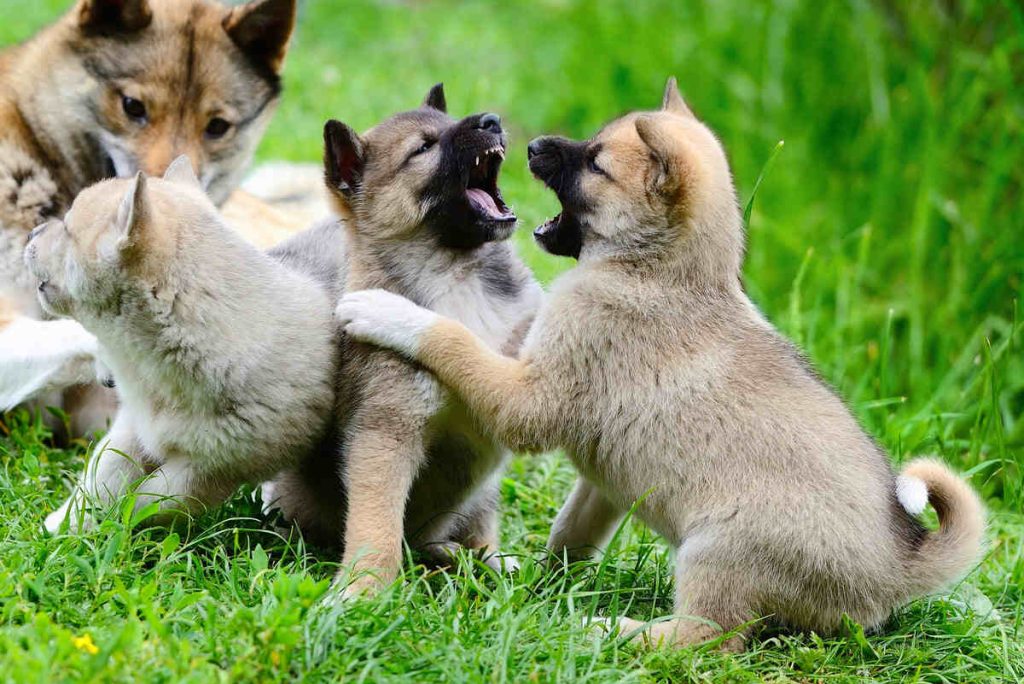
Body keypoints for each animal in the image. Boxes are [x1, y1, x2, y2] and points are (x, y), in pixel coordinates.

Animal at [24, 157, 337, 532]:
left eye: (68, 230)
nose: (32, 233)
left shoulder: (208, 469)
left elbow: (150, 500)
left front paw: (117, 526)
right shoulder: (134, 424)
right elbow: (102, 475)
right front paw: (64, 528)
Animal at [264, 85, 544, 593]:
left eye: (452, 125)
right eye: (423, 148)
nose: (492, 121)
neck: (455, 271)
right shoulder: (386, 431)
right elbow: (376, 525)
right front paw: (363, 590)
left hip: (480, 497)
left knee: (475, 531)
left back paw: (485, 561)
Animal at [335, 77, 983, 651]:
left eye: (596, 163)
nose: (531, 142)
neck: (660, 273)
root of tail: (899, 566)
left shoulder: (529, 402)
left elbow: (453, 338)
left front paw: (386, 310)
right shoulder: (604, 484)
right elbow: (573, 532)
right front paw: (542, 583)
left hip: (717, 554)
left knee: (706, 639)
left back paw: (606, 630)